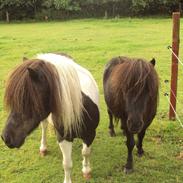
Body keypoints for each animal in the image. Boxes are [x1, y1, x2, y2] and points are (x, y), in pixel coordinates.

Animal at [1, 52, 100, 182]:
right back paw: (43, 148)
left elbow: (86, 153)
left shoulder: (90, 134)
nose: (5, 137)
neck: (79, 107)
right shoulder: (63, 137)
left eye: (26, 100)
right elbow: (67, 164)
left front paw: (86, 170)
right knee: (44, 128)